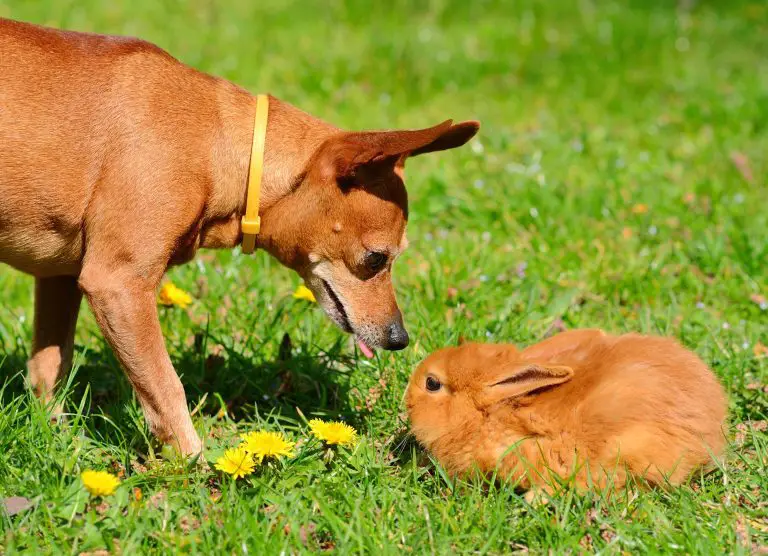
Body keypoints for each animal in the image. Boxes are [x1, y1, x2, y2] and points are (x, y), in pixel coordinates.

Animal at [0, 19, 476, 456]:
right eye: (377, 259)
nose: (400, 338)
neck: (215, 142)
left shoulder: (60, 279)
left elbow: (48, 370)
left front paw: (56, 441)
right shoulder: (118, 285)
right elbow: (166, 389)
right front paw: (196, 466)